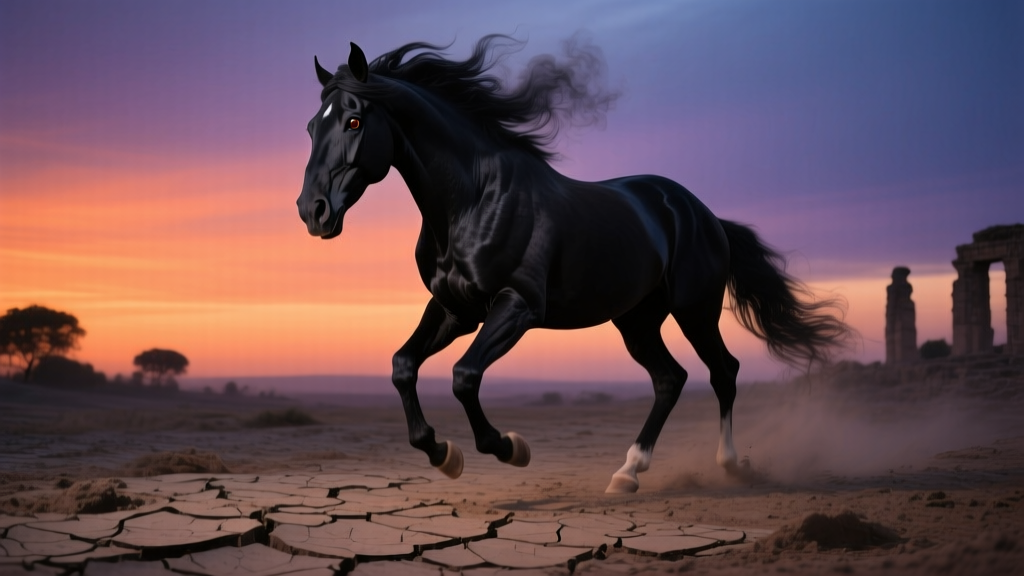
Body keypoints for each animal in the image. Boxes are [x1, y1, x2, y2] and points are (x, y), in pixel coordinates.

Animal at [296, 36, 850, 493]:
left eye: (353, 121)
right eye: (310, 126)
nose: (312, 211)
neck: (472, 200)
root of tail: (703, 213)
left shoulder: (517, 306)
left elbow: (464, 375)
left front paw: (510, 448)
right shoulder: (456, 309)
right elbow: (403, 366)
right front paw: (442, 454)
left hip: (695, 310)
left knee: (723, 371)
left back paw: (730, 465)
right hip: (636, 320)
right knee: (670, 379)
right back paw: (627, 473)